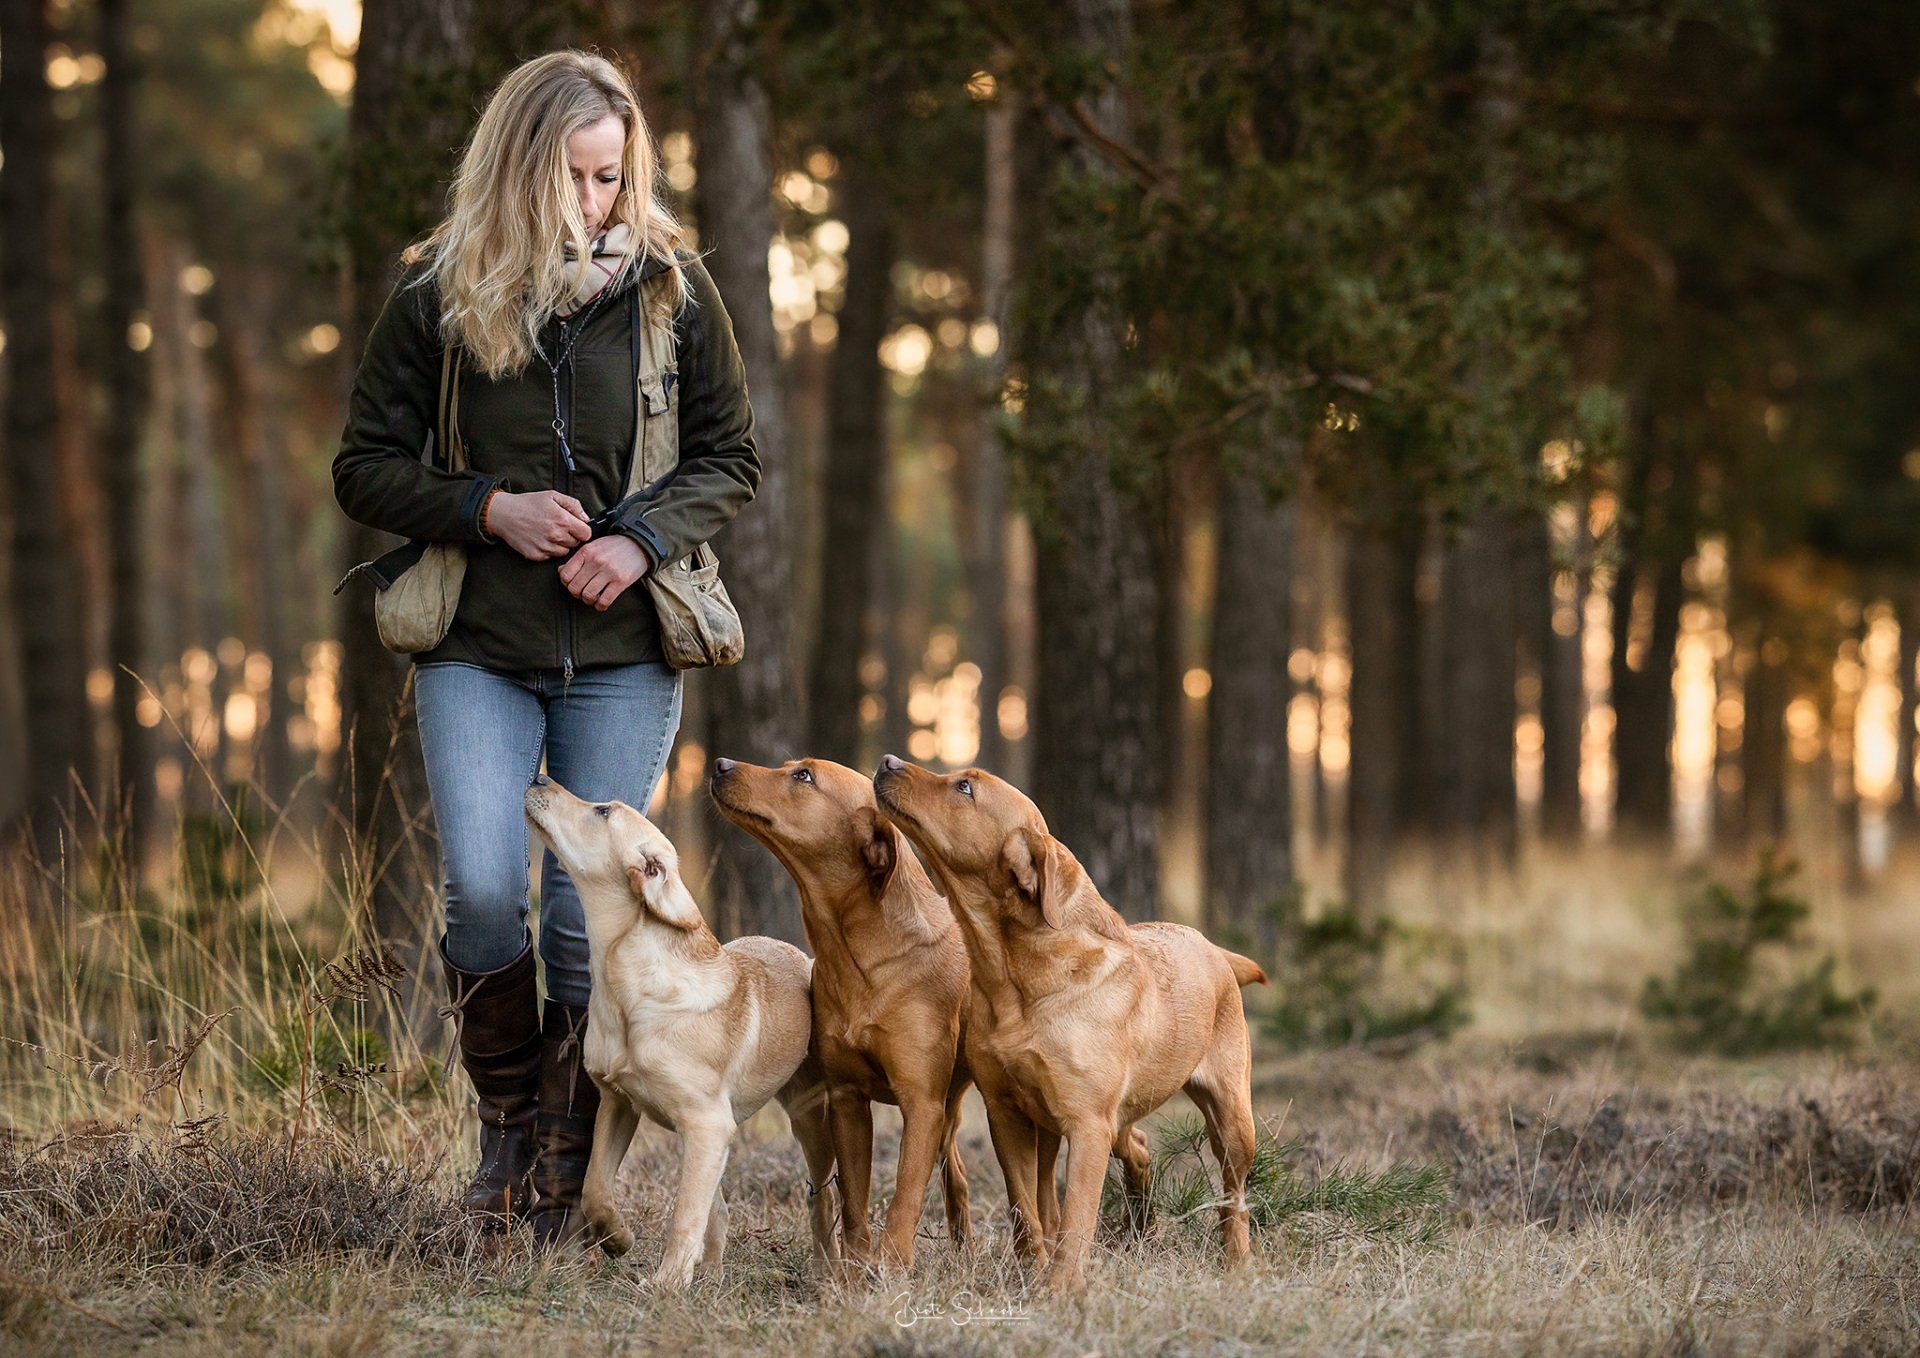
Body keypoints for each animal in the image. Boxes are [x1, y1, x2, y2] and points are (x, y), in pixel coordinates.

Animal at [523, 775, 839, 1288]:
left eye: (603, 811)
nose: (538, 777)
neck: (626, 987)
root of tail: (800, 955)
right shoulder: (618, 1102)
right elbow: (595, 1186)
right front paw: (618, 1239)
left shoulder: (708, 1123)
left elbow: (685, 1213)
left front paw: (666, 1283)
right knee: (719, 1207)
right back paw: (709, 1271)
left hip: (807, 1115)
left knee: (820, 1196)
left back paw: (826, 1265)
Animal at [709, 755, 973, 1271]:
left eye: (804, 777)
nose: (720, 764)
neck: (861, 955)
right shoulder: (847, 1097)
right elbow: (853, 1200)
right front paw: (851, 1270)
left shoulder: (922, 1101)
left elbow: (904, 1197)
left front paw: (890, 1267)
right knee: (954, 1169)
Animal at [873, 755, 1268, 1292]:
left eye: (964, 787)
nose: (887, 761)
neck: (1015, 979)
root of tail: (1212, 946)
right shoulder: (1008, 1114)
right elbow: (1026, 1207)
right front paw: (1033, 1271)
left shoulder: (1087, 1124)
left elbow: (1077, 1214)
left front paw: (1061, 1287)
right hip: (1114, 1119)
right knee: (1139, 1149)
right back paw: (1141, 1227)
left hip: (1230, 1118)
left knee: (1235, 1194)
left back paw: (1237, 1260)